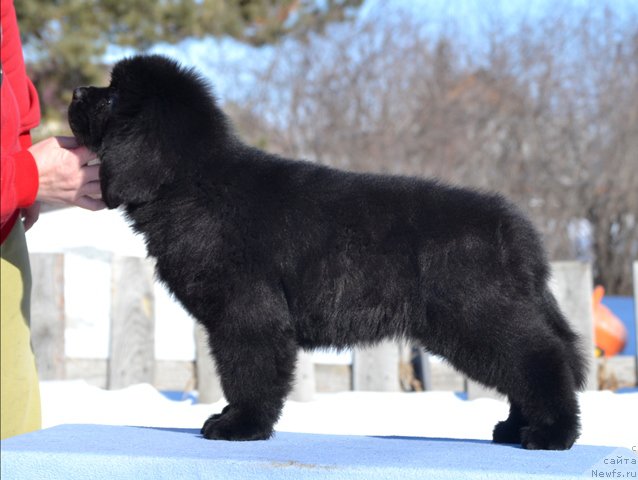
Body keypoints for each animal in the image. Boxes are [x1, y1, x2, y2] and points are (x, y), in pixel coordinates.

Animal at [69, 56, 584, 450]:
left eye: (112, 98)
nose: (75, 91)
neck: (192, 184)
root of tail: (517, 229)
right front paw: (235, 419)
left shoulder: (248, 314)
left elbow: (249, 372)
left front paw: (240, 426)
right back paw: (516, 428)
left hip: (477, 314)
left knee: (540, 358)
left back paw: (551, 434)